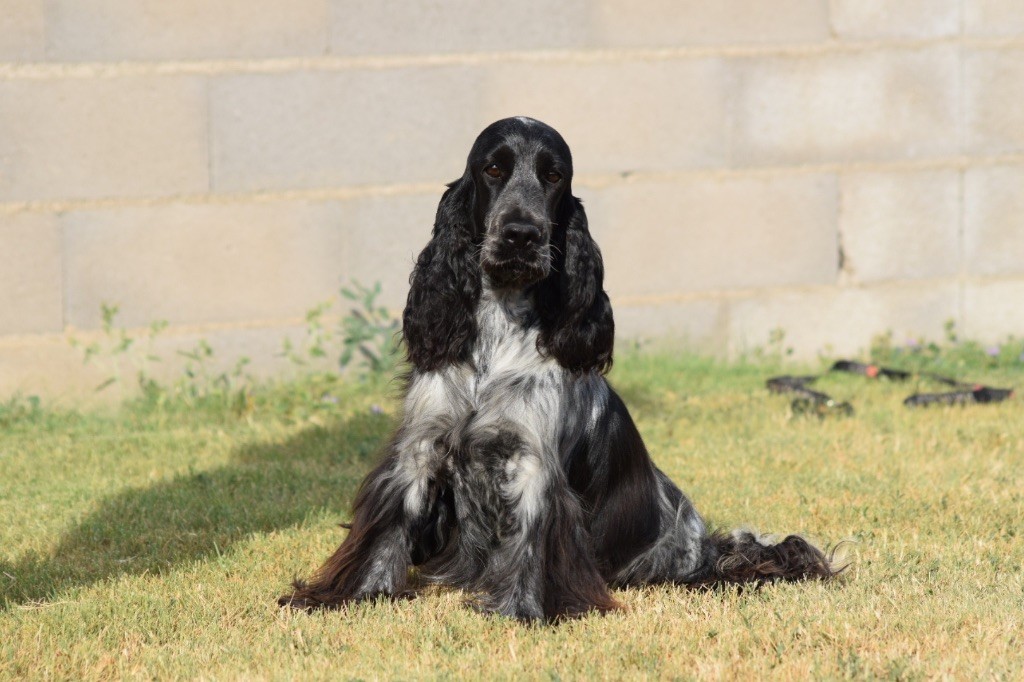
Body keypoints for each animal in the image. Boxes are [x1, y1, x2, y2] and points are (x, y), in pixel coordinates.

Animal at [276, 118, 835, 622]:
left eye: (554, 175)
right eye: (493, 168)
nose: (521, 235)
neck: (497, 333)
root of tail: (709, 549)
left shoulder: (532, 464)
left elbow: (527, 540)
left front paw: (522, 612)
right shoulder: (419, 448)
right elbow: (388, 527)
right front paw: (349, 597)